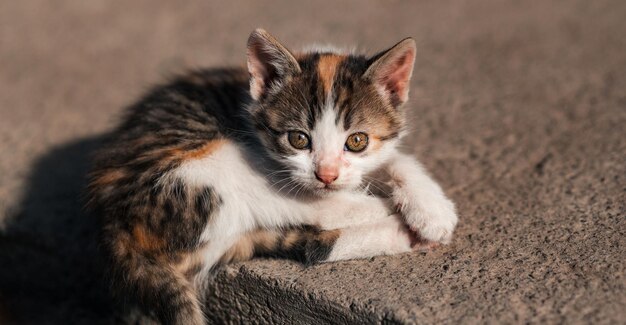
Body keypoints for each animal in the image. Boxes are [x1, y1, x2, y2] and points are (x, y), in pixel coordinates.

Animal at [86, 29, 454, 322]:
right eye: (298, 139)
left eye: (357, 141)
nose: (327, 174)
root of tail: (115, 231)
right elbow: (317, 198)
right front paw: (401, 206)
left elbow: (394, 159)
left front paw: (432, 211)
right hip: (204, 166)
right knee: (308, 208)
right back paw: (387, 215)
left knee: (312, 245)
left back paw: (403, 234)